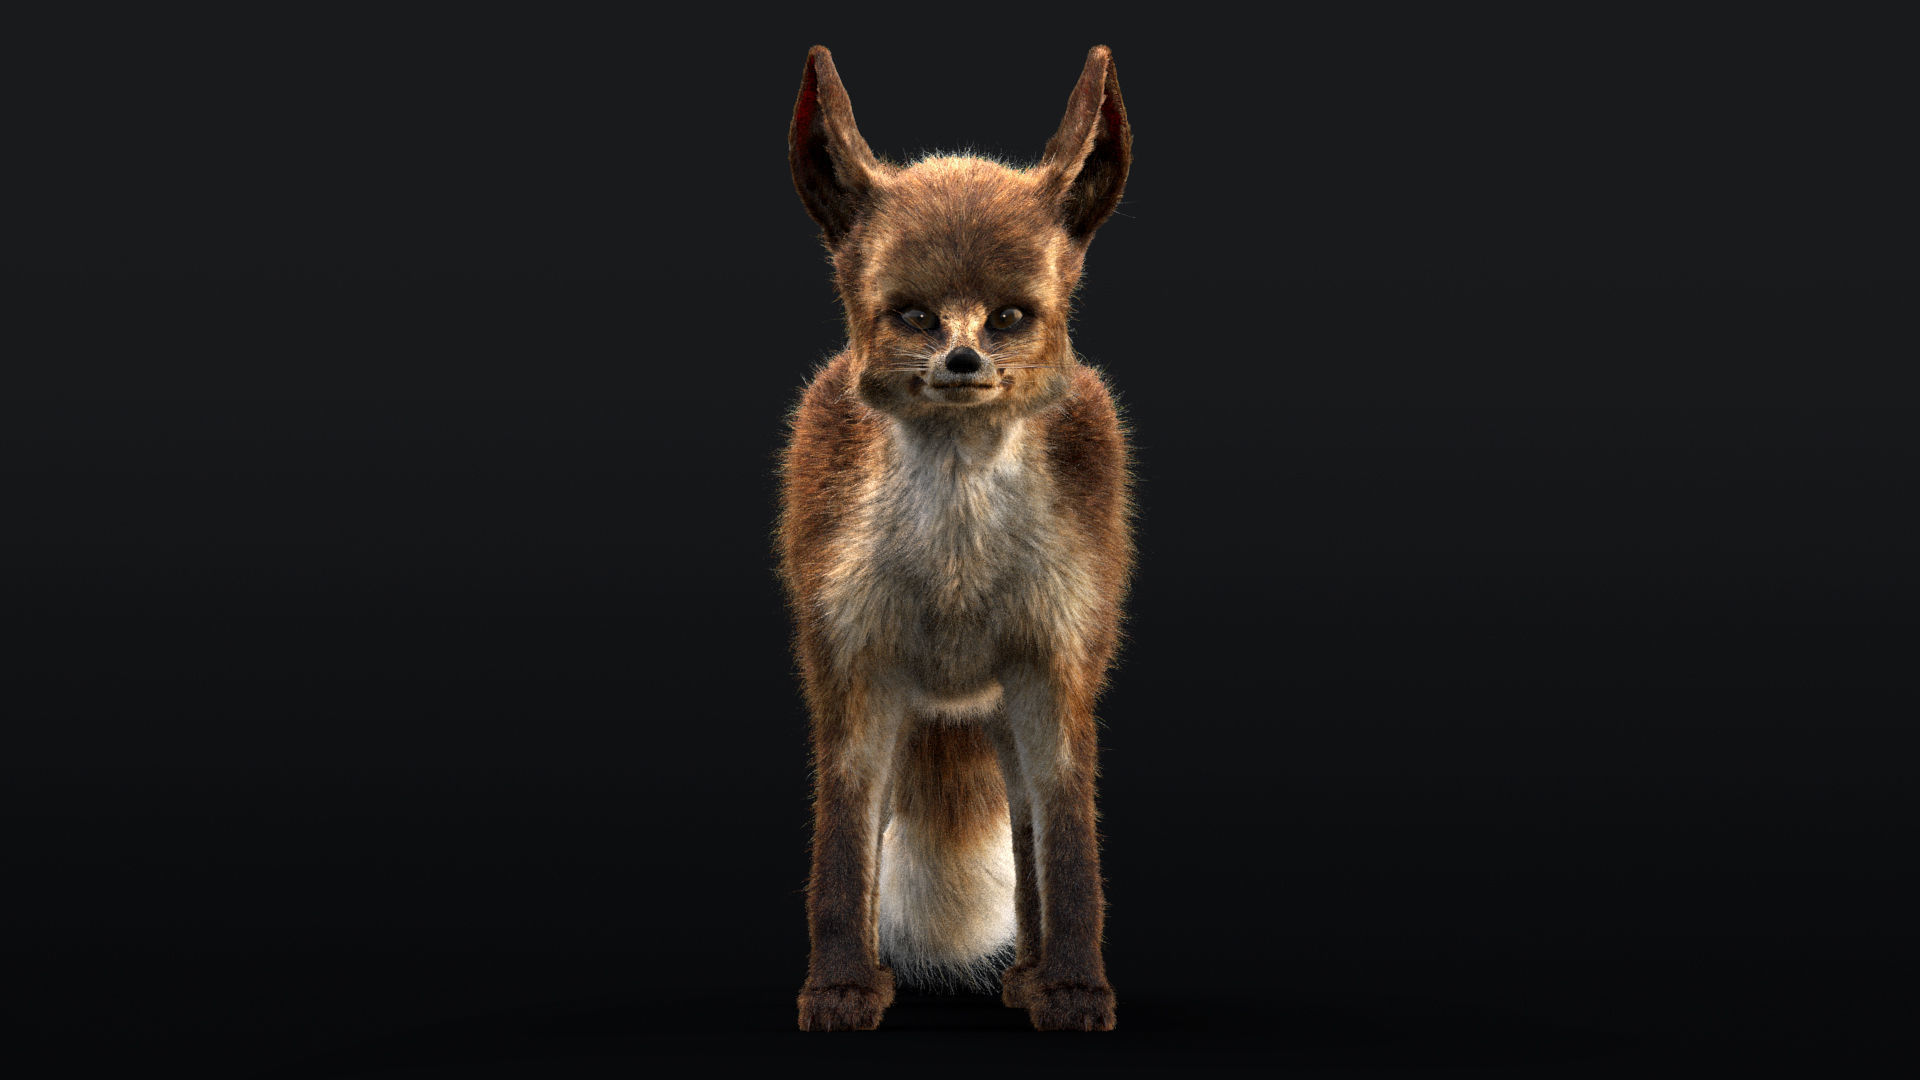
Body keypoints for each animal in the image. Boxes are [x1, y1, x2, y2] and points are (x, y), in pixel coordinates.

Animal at [777, 44, 1134, 1032]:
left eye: (1008, 317)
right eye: (915, 316)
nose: (963, 361)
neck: (957, 573)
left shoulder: (1057, 670)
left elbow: (1068, 845)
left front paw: (1076, 991)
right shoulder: (853, 668)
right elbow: (842, 843)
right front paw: (841, 990)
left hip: (1005, 713)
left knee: (1025, 825)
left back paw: (1033, 975)